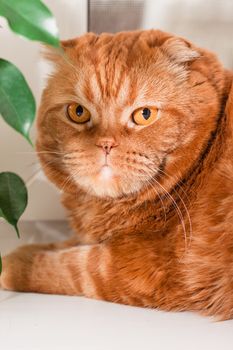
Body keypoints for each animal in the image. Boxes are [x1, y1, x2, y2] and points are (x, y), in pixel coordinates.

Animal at [0, 30, 232, 320]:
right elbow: (67, 245)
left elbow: (67, 265)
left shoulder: (144, 268)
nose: (106, 144)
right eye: (78, 112)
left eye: (145, 114)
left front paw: (13, 262)